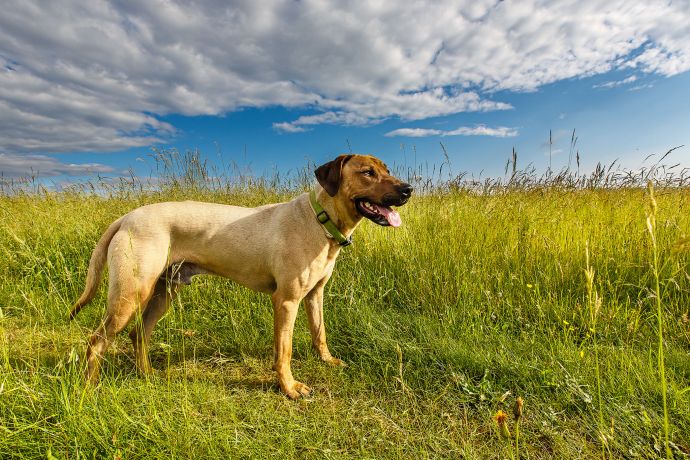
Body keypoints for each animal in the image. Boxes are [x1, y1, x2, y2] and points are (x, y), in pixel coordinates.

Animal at [72, 155, 412, 398]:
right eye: (367, 172)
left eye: (387, 169)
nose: (407, 190)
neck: (320, 219)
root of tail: (126, 217)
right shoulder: (286, 300)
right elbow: (285, 350)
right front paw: (289, 388)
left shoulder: (315, 294)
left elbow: (319, 333)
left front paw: (326, 361)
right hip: (130, 295)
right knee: (97, 341)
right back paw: (90, 388)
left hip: (164, 291)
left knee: (138, 334)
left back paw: (146, 375)